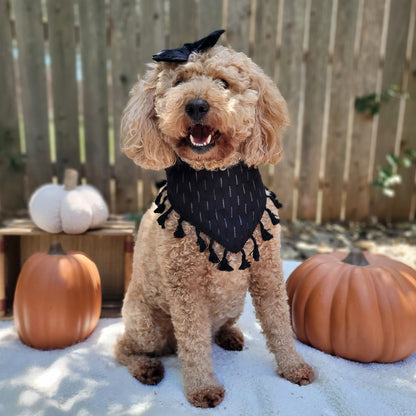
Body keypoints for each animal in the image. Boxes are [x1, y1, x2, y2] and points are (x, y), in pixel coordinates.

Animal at [115, 30, 314, 408]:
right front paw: (203, 388)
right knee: (124, 349)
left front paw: (294, 367)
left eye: (224, 83)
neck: (217, 184)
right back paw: (146, 368)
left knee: (214, 330)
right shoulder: (185, 287)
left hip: (233, 305)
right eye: (178, 82)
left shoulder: (267, 274)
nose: (195, 106)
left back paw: (229, 336)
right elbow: (193, 344)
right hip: (147, 325)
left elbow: (280, 324)